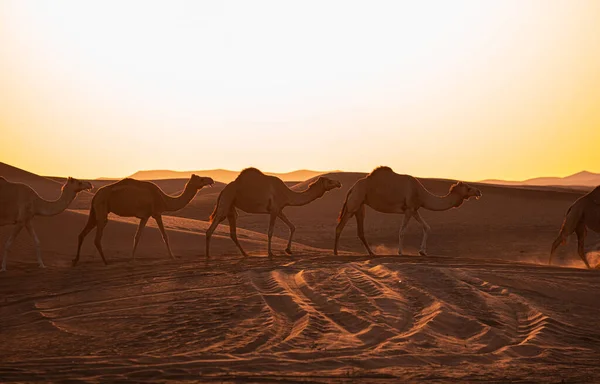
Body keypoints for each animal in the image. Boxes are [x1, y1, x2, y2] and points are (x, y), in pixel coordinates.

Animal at [73, 175, 214, 268]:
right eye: (201, 179)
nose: (211, 180)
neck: (165, 200)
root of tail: (96, 195)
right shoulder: (156, 213)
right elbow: (164, 235)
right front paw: (172, 256)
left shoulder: (145, 216)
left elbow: (137, 236)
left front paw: (132, 259)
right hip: (102, 208)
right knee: (97, 238)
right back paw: (106, 262)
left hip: (94, 211)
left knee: (82, 234)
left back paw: (76, 260)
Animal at [204, 168, 340, 258]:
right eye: (329, 181)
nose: (339, 183)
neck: (287, 194)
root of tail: (223, 191)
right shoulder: (274, 210)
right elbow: (270, 232)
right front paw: (270, 253)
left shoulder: (279, 210)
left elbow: (292, 226)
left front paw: (288, 250)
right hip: (226, 201)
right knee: (211, 229)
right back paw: (208, 256)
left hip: (231, 207)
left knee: (232, 232)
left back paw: (245, 254)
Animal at [332, 166, 482, 256]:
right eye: (468, 188)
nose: (479, 191)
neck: (422, 194)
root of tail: (351, 188)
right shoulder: (409, 209)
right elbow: (402, 231)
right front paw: (400, 252)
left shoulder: (414, 209)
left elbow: (427, 227)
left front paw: (422, 252)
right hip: (354, 202)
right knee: (340, 227)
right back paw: (335, 253)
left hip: (360, 205)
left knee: (360, 231)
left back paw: (372, 253)